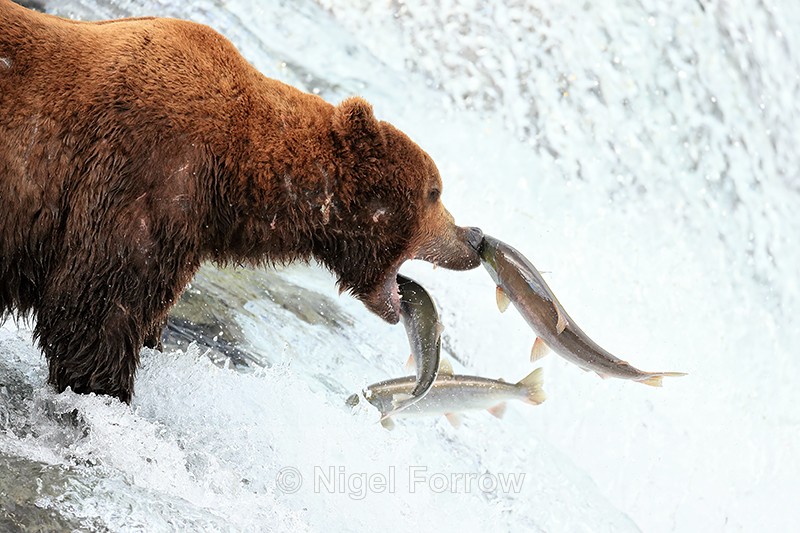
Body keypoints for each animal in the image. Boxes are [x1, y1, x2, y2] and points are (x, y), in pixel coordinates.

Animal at [0, 0, 483, 402]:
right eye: (435, 191)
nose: (474, 237)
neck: (235, 173)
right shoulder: (145, 173)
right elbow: (96, 306)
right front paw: (105, 390)